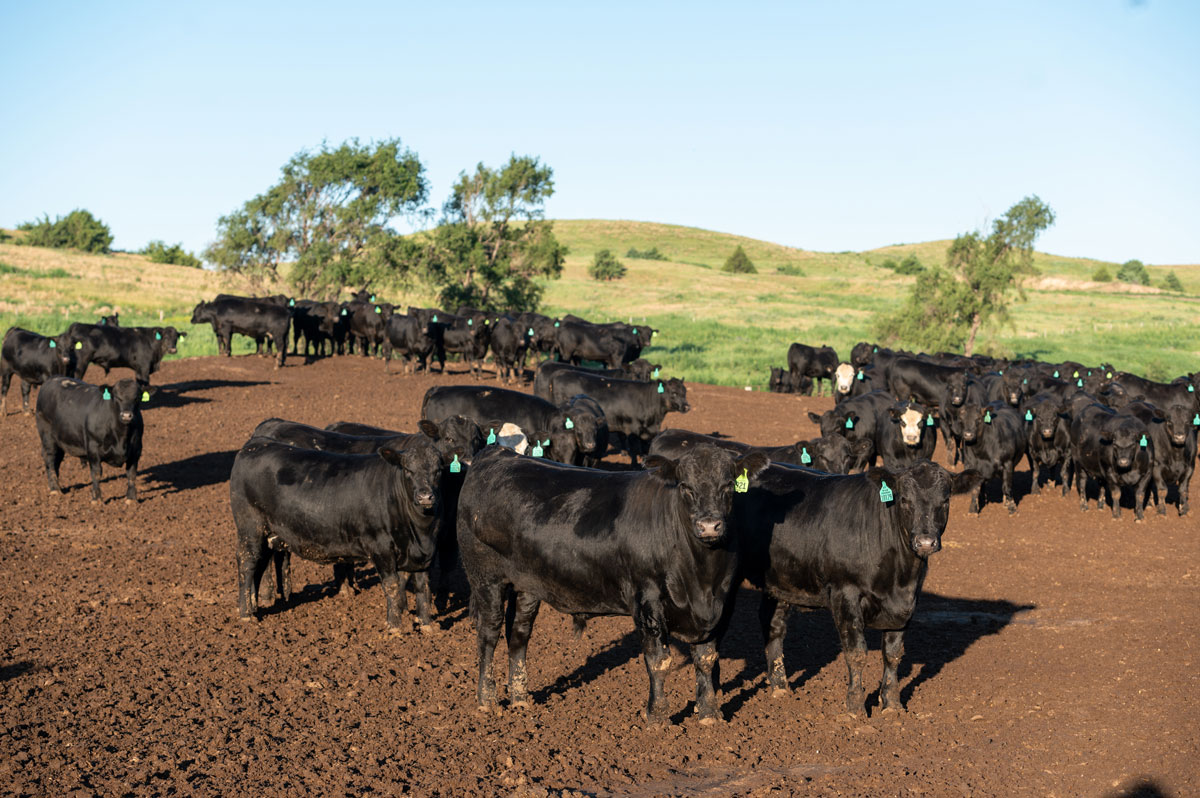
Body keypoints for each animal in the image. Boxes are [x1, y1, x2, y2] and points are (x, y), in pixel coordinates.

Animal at [230, 436, 446, 628]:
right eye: (408, 470)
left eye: (438, 471)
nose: (425, 496)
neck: (419, 532)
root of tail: (256, 444)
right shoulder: (381, 548)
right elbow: (392, 586)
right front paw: (394, 627)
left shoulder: (424, 555)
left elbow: (423, 587)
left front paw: (426, 625)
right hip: (250, 528)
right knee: (247, 564)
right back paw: (246, 615)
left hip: (269, 535)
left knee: (259, 567)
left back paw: (255, 608)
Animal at [453, 441, 772, 720]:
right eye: (685, 487)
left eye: (728, 486)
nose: (708, 525)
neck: (701, 578)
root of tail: (498, 453)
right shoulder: (647, 601)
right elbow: (659, 661)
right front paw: (656, 716)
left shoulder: (722, 603)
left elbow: (706, 659)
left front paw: (709, 714)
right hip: (486, 578)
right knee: (489, 634)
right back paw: (487, 701)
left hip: (526, 586)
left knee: (519, 634)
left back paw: (520, 699)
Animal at [547, 369, 691, 463]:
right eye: (673, 393)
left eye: (684, 391)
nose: (687, 407)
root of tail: (559, 373)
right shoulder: (633, 430)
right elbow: (634, 450)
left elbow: (645, 449)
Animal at [724, 458, 979, 710]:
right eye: (905, 500)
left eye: (945, 501)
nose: (925, 542)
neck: (900, 576)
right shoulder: (845, 593)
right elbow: (856, 653)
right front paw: (855, 707)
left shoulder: (907, 602)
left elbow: (893, 653)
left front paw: (892, 705)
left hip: (781, 581)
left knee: (773, 625)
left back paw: (780, 688)